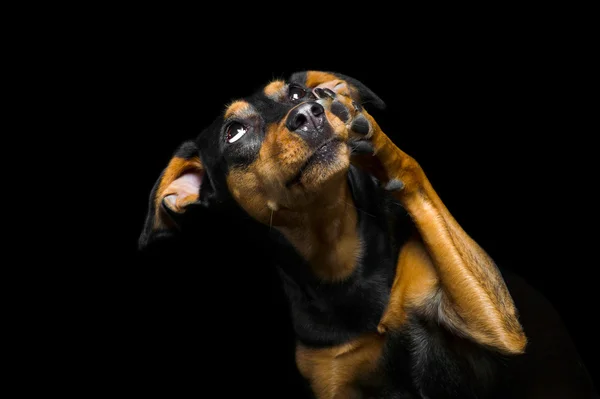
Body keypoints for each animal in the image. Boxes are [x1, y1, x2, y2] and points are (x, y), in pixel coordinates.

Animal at [137, 70, 596, 398]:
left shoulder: (498, 328)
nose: (311, 111)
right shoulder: (335, 380)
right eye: (233, 132)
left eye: (296, 94)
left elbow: (410, 170)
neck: (336, 253)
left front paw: (373, 138)